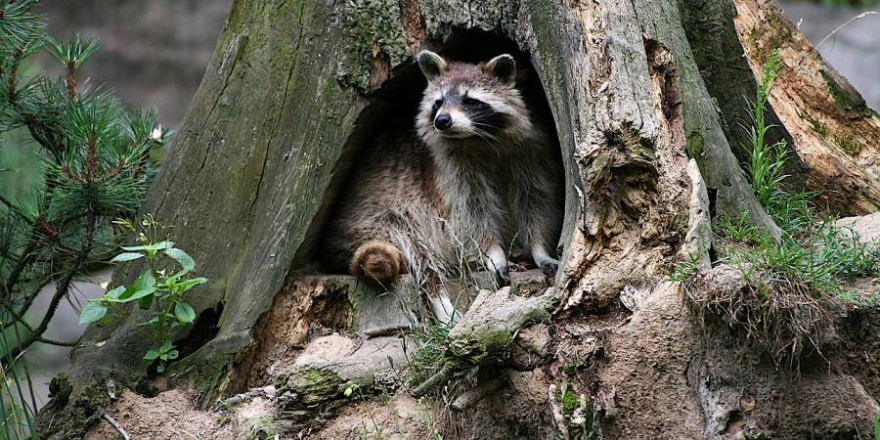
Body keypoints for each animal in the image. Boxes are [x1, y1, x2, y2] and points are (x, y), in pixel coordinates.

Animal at [414, 50, 564, 278]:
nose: (442, 120)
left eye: (470, 101)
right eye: (438, 102)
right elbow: (472, 211)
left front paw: (539, 247)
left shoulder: (533, 153)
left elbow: (535, 200)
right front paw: (494, 253)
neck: (478, 138)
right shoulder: (455, 167)